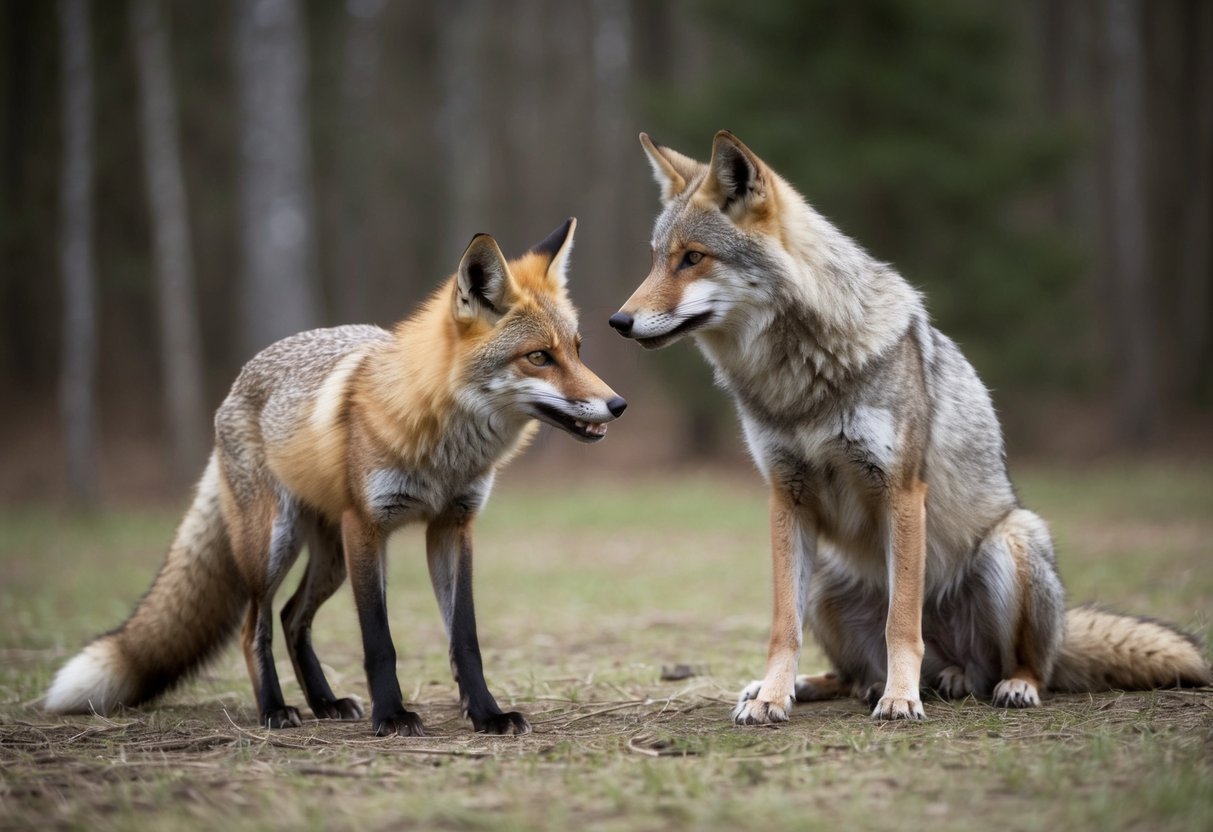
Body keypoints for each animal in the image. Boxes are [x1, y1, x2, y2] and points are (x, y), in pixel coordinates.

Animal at [45, 218, 626, 736]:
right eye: (539, 357)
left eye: (578, 350)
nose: (617, 405)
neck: (442, 447)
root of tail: (238, 383)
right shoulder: (367, 526)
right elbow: (379, 641)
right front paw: (391, 717)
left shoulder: (452, 525)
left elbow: (465, 639)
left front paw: (487, 715)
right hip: (274, 545)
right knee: (254, 627)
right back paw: (276, 709)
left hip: (330, 559)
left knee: (291, 619)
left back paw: (324, 703)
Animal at [610, 130, 1211, 724]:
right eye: (656, 260)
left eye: (693, 258)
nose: (618, 321)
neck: (798, 381)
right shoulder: (786, 498)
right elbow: (783, 628)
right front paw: (773, 697)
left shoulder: (899, 491)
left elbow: (901, 623)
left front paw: (902, 699)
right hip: (825, 576)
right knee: (852, 673)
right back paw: (820, 686)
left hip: (1012, 541)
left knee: (1013, 665)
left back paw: (993, 685)